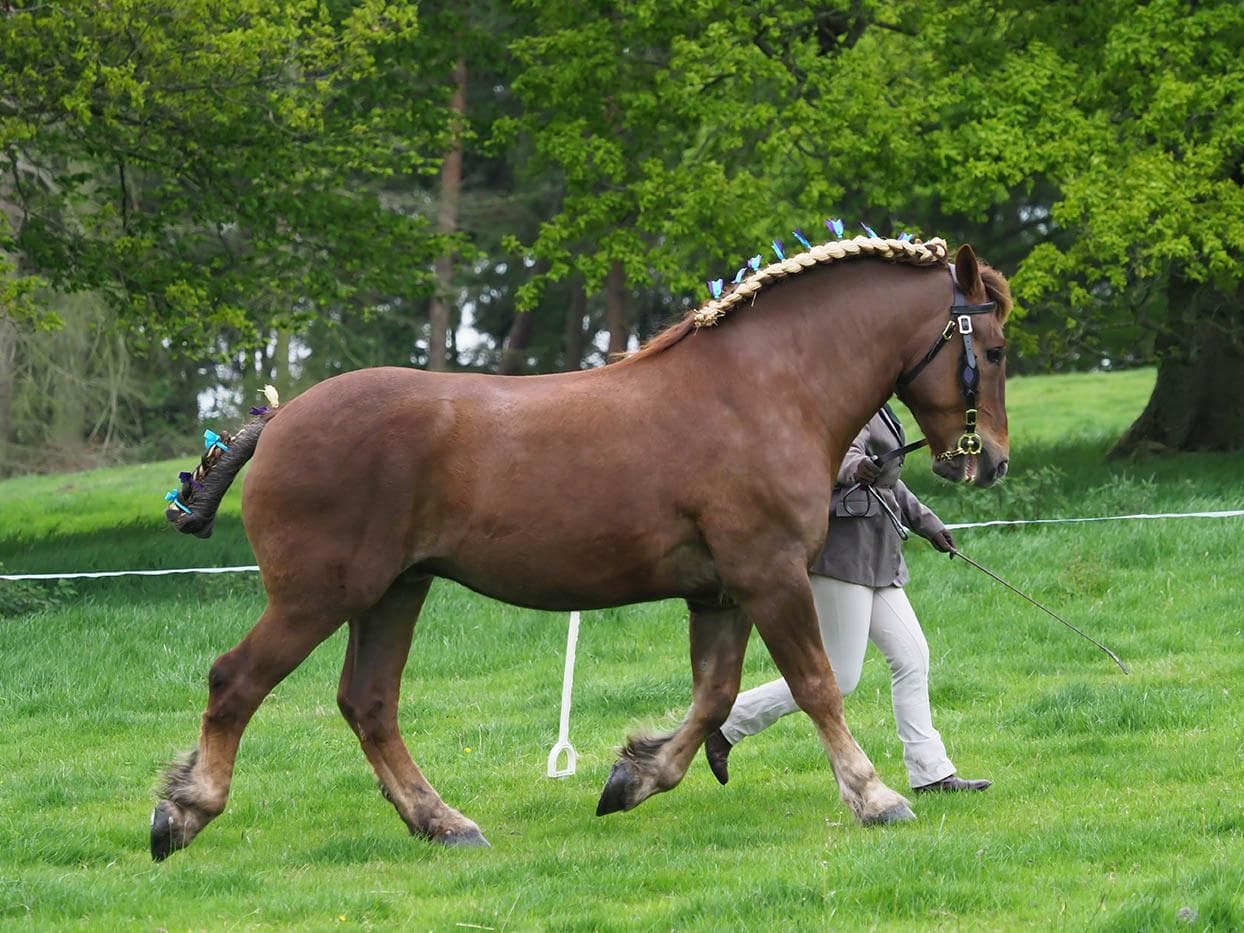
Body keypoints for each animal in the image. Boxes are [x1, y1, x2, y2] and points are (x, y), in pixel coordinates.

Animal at [151, 234, 1012, 860]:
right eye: (996, 350)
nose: (988, 461)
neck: (761, 389)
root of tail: (279, 419)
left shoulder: (722, 591)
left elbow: (716, 694)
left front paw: (635, 776)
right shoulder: (769, 577)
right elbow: (815, 685)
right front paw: (875, 795)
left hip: (394, 592)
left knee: (368, 704)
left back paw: (442, 821)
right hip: (319, 596)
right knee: (236, 681)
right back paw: (185, 811)